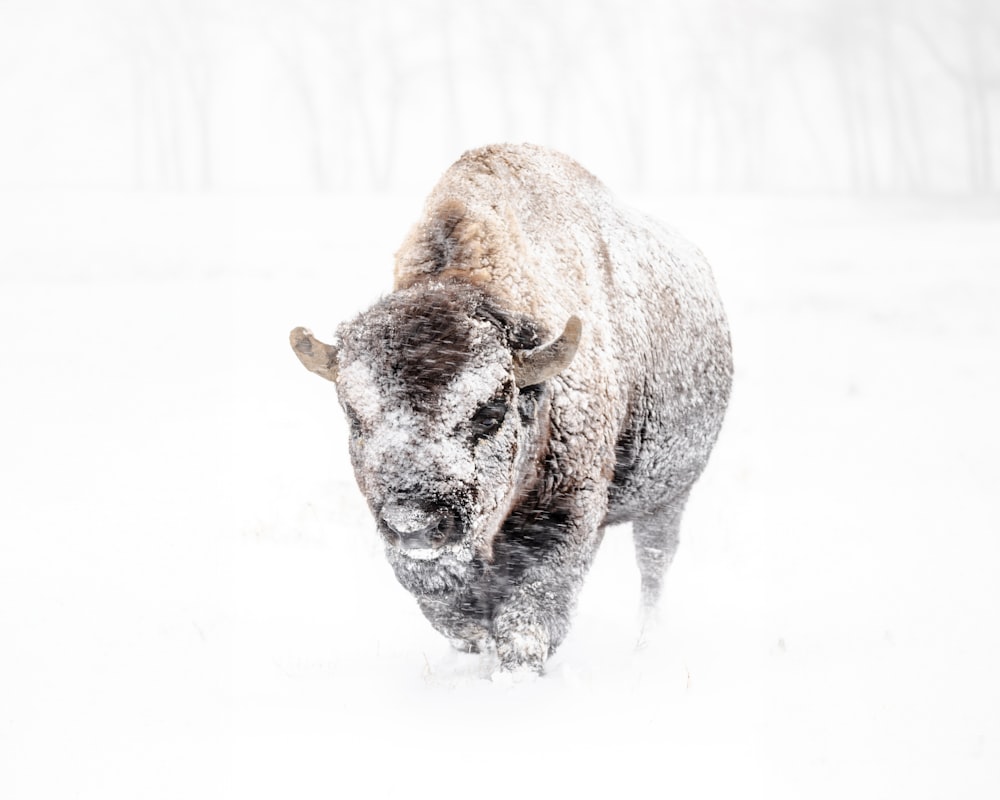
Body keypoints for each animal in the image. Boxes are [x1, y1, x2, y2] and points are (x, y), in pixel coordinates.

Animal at [290, 144, 736, 676]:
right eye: (353, 415)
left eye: (492, 408)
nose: (414, 523)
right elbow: (460, 618)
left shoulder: (566, 512)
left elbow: (528, 618)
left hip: (669, 497)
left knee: (654, 568)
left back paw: (646, 646)